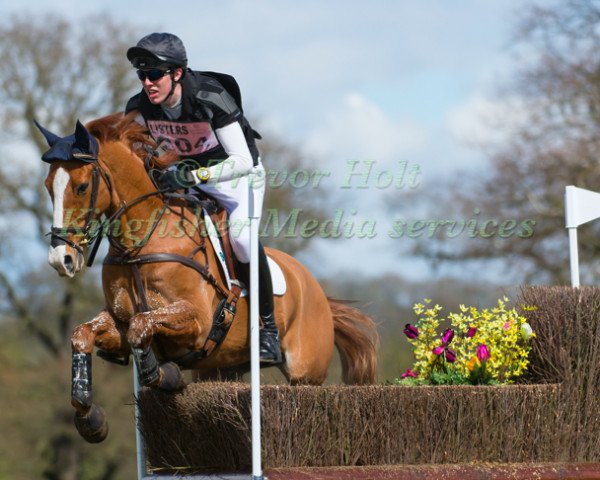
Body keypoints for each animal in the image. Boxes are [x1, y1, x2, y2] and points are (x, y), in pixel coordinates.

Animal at [35, 112, 378, 442]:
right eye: (49, 185)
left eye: (81, 186)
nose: (61, 259)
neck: (144, 242)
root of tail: (315, 289)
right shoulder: (118, 320)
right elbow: (83, 334)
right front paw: (89, 418)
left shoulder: (197, 321)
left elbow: (140, 327)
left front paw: (166, 374)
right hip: (220, 368)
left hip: (306, 373)